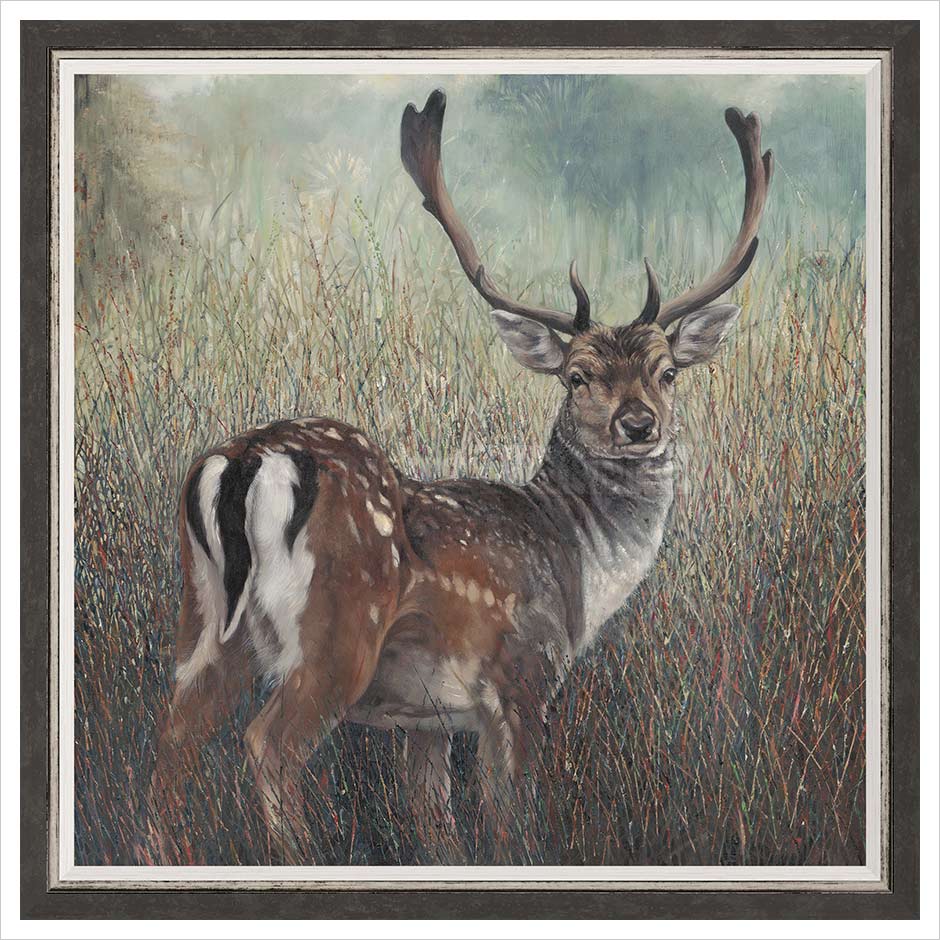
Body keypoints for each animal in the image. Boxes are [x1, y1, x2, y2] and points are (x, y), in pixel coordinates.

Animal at [147, 89, 772, 864]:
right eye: (577, 376)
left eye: (668, 372)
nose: (638, 424)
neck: (580, 565)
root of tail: (247, 460)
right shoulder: (520, 679)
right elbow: (511, 823)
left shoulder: (429, 719)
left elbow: (436, 826)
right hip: (336, 631)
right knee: (269, 744)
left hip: (203, 623)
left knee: (172, 741)